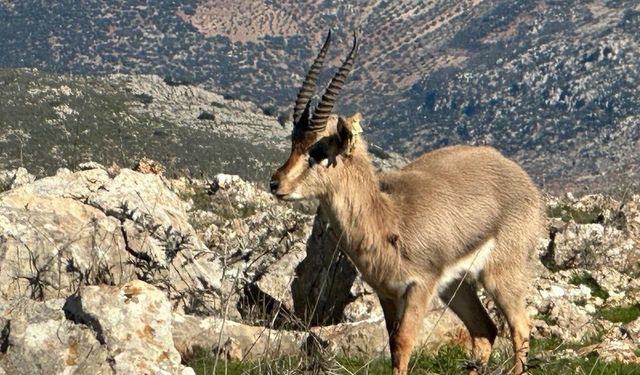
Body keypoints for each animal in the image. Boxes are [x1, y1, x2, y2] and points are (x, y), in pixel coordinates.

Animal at [270, 30, 544, 374]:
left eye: (318, 151)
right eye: (293, 142)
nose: (276, 183)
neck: (387, 216)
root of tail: (520, 176)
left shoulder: (419, 287)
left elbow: (403, 344)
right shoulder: (387, 292)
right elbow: (392, 346)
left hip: (499, 277)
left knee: (520, 327)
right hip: (456, 287)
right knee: (485, 330)